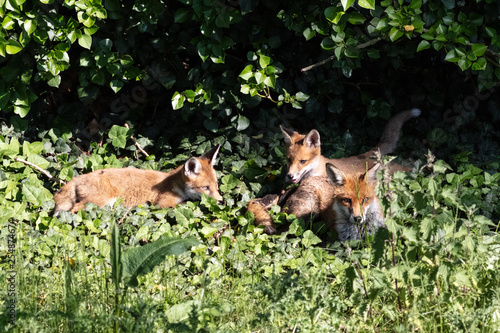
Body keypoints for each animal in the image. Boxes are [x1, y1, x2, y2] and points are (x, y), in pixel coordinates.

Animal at [52, 145, 221, 213]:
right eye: (205, 188)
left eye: (216, 186)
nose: (221, 201)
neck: (175, 185)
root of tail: (78, 178)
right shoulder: (162, 204)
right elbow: (187, 205)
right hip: (100, 202)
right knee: (74, 209)